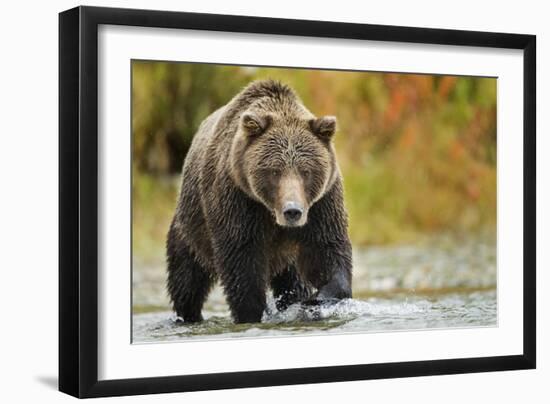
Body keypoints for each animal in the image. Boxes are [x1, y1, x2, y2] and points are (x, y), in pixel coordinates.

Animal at [167, 79, 354, 326]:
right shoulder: (238, 201)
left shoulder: (322, 204)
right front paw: (251, 313)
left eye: (306, 171)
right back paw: (188, 316)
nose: (292, 211)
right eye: (275, 171)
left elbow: (327, 250)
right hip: (191, 229)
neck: (270, 212)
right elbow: (242, 262)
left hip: (286, 258)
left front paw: (315, 299)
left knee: (293, 281)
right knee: (186, 280)